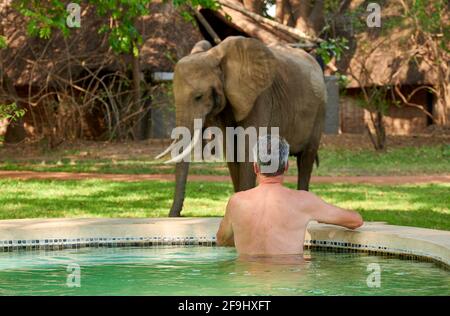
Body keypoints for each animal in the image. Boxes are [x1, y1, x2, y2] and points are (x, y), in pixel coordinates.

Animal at [158, 35, 326, 216]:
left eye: (199, 97)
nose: (174, 216)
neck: (214, 56)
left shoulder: (260, 97)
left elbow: (246, 149)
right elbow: (233, 152)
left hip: (320, 110)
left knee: (306, 159)